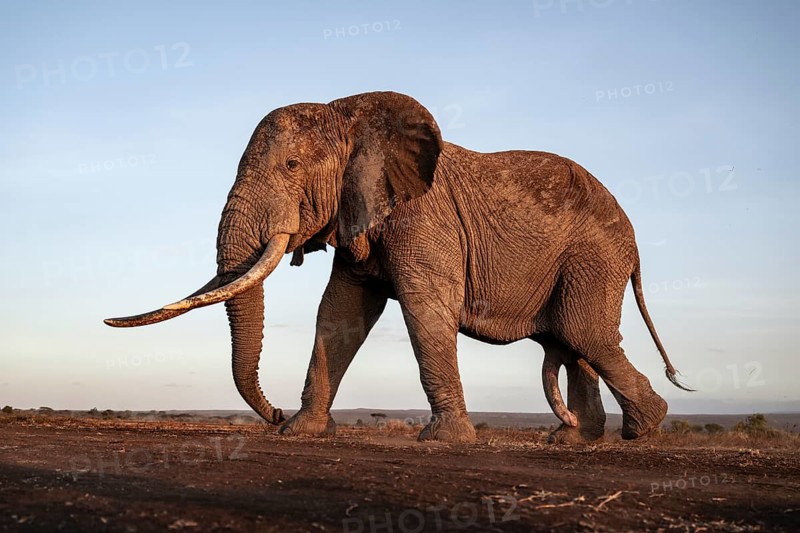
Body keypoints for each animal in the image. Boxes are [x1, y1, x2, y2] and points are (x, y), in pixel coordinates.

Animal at [105, 91, 689, 444]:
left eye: (291, 165)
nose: (273, 415)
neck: (349, 114)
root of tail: (634, 236)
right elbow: (339, 315)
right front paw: (302, 433)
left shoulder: (423, 218)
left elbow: (425, 309)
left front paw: (444, 441)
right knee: (571, 340)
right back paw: (573, 440)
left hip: (595, 256)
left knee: (581, 331)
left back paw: (643, 429)